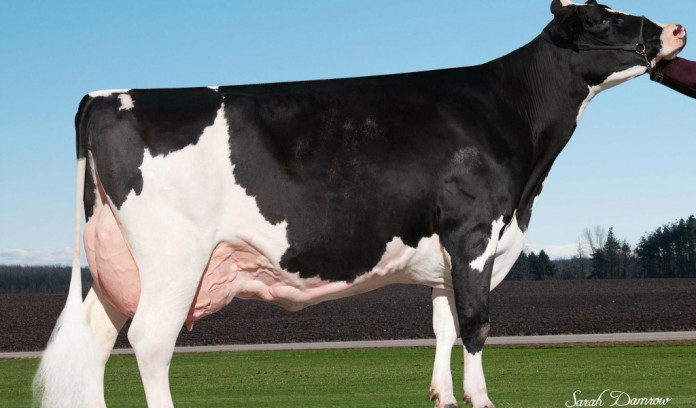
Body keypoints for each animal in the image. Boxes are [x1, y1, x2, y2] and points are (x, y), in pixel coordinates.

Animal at [34, 1, 687, 407]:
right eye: (601, 18)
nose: (676, 29)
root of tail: (105, 95)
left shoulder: (445, 254)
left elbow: (443, 325)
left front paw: (443, 396)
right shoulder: (474, 231)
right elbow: (475, 323)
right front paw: (480, 396)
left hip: (118, 259)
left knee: (96, 337)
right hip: (174, 257)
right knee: (149, 339)